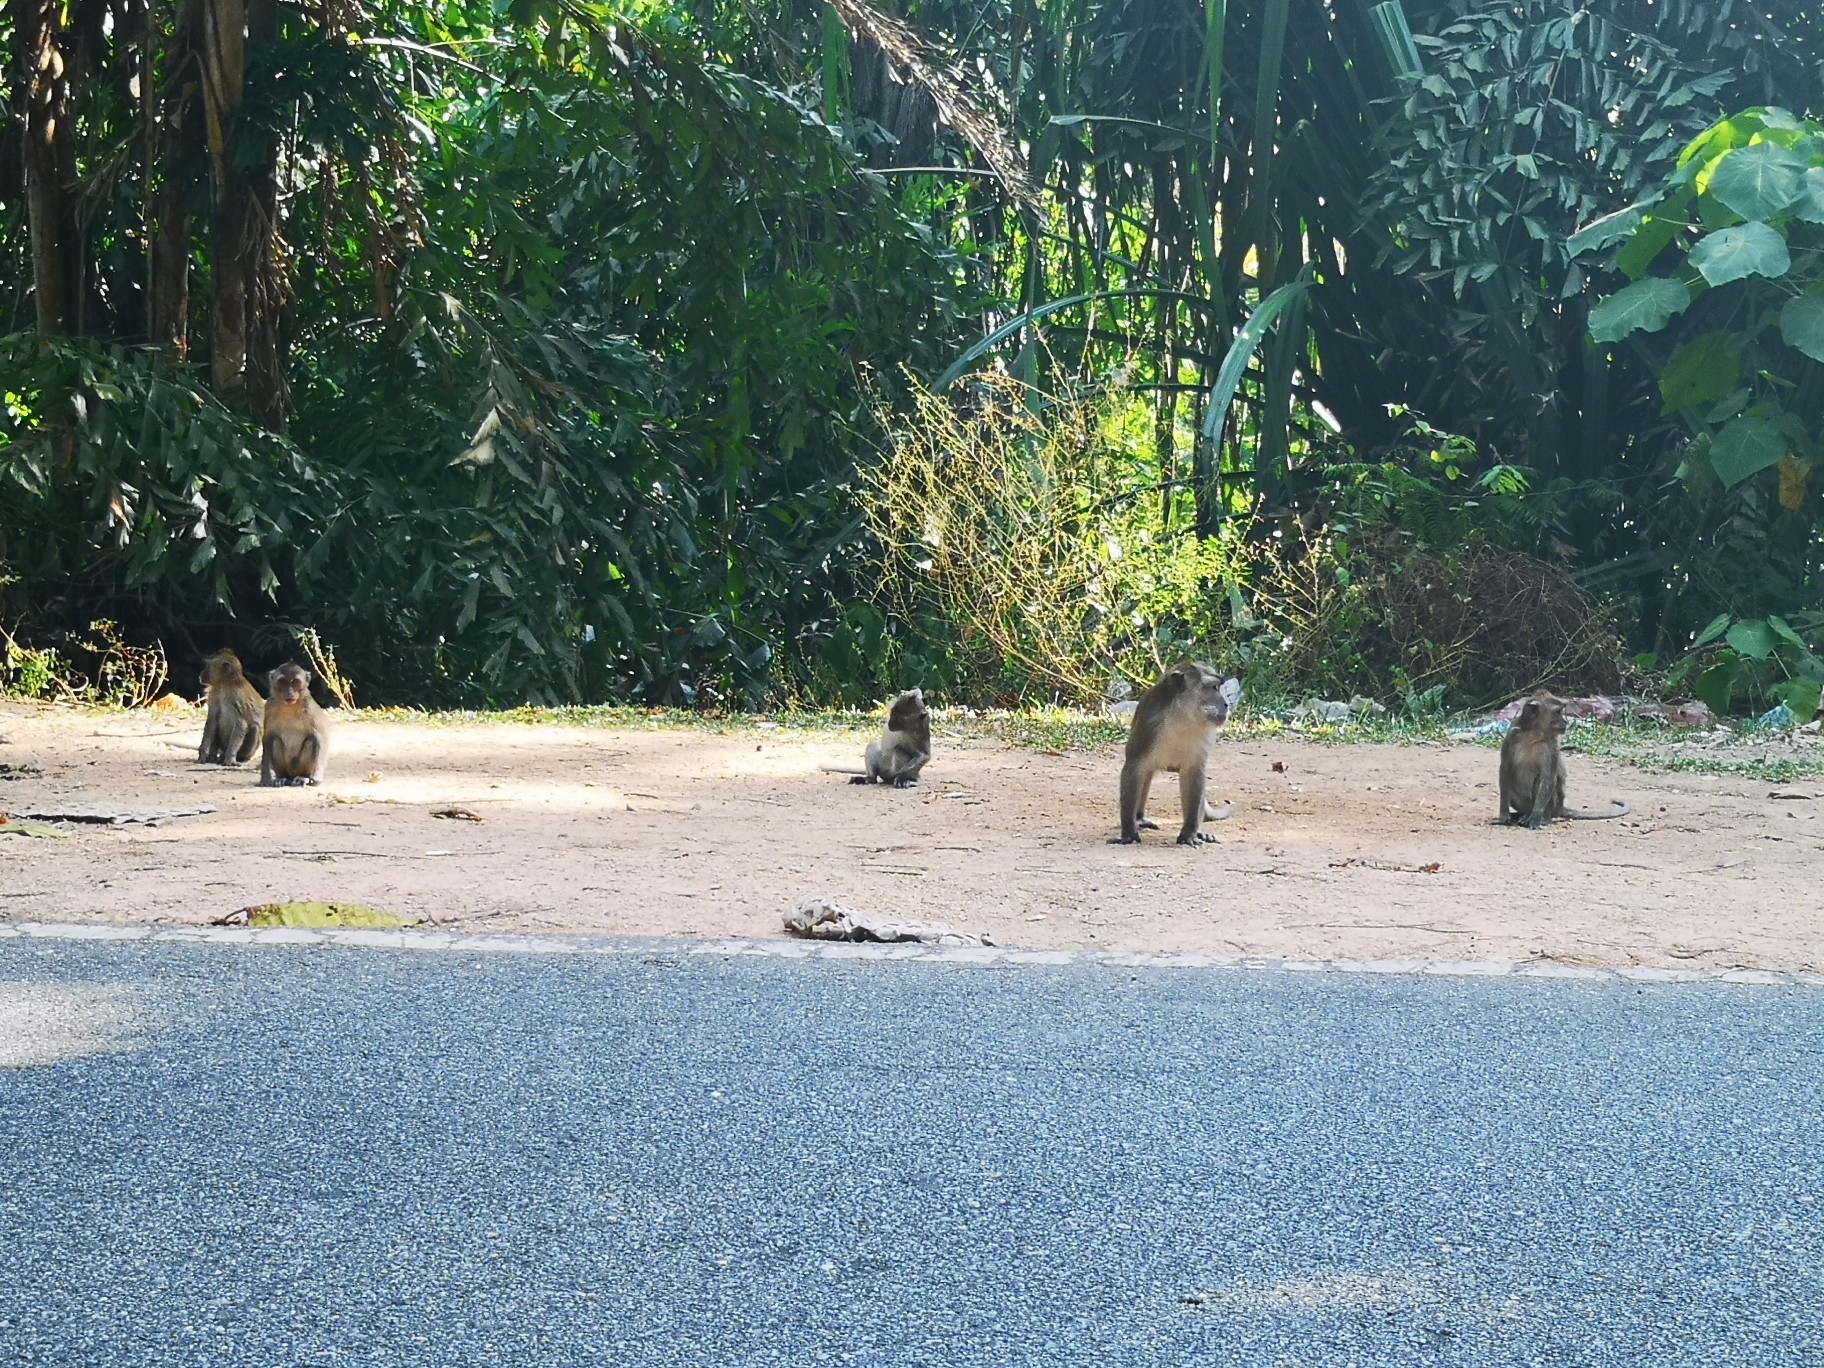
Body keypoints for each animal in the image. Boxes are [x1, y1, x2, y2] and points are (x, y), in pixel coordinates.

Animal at [1108, 663, 1240, 846]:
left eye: (1218, 688)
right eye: (1213, 687)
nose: (1226, 704)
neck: (1183, 717)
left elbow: (1194, 773)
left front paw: (1189, 833)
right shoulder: (1149, 726)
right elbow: (1134, 767)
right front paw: (1128, 833)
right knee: (1145, 774)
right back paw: (1139, 819)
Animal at [1502, 689, 1634, 831]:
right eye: (1558, 712)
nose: (1566, 722)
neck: (1533, 735)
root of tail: (1560, 808)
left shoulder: (1551, 745)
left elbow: (1548, 778)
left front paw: (1536, 818)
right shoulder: (1512, 734)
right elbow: (1505, 770)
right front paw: (1503, 815)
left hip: (1554, 805)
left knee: (1541, 782)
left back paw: (1541, 817)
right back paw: (1522, 814)